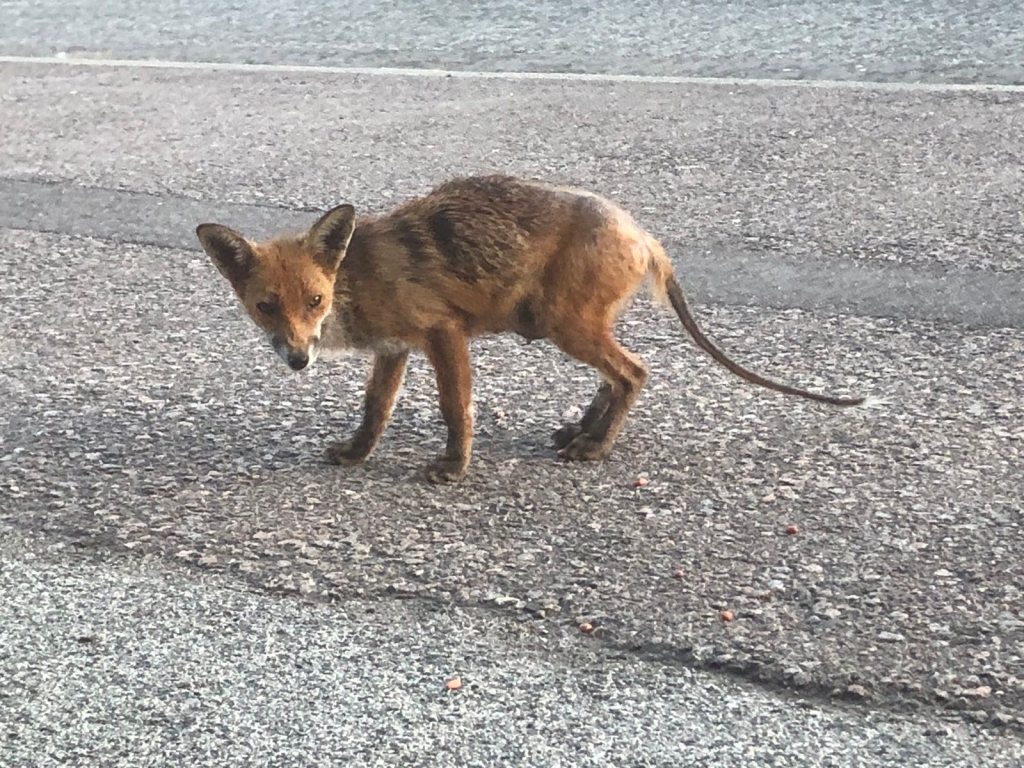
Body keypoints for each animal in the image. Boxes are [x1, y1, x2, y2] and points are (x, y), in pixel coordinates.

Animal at [196, 174, 863, 483]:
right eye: (267, 307)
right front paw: (358, 454)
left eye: (314, 300)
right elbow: (375, 410)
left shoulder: (443, 332)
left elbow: (456, 408)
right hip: (569, 327)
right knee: (614, 379)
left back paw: (596, 446)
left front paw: (454, 467)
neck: (358, 279)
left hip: (566, 327)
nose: (298, 359)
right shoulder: (395, 348)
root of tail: (642, 232)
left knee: (635, 372)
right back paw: (583, 431)